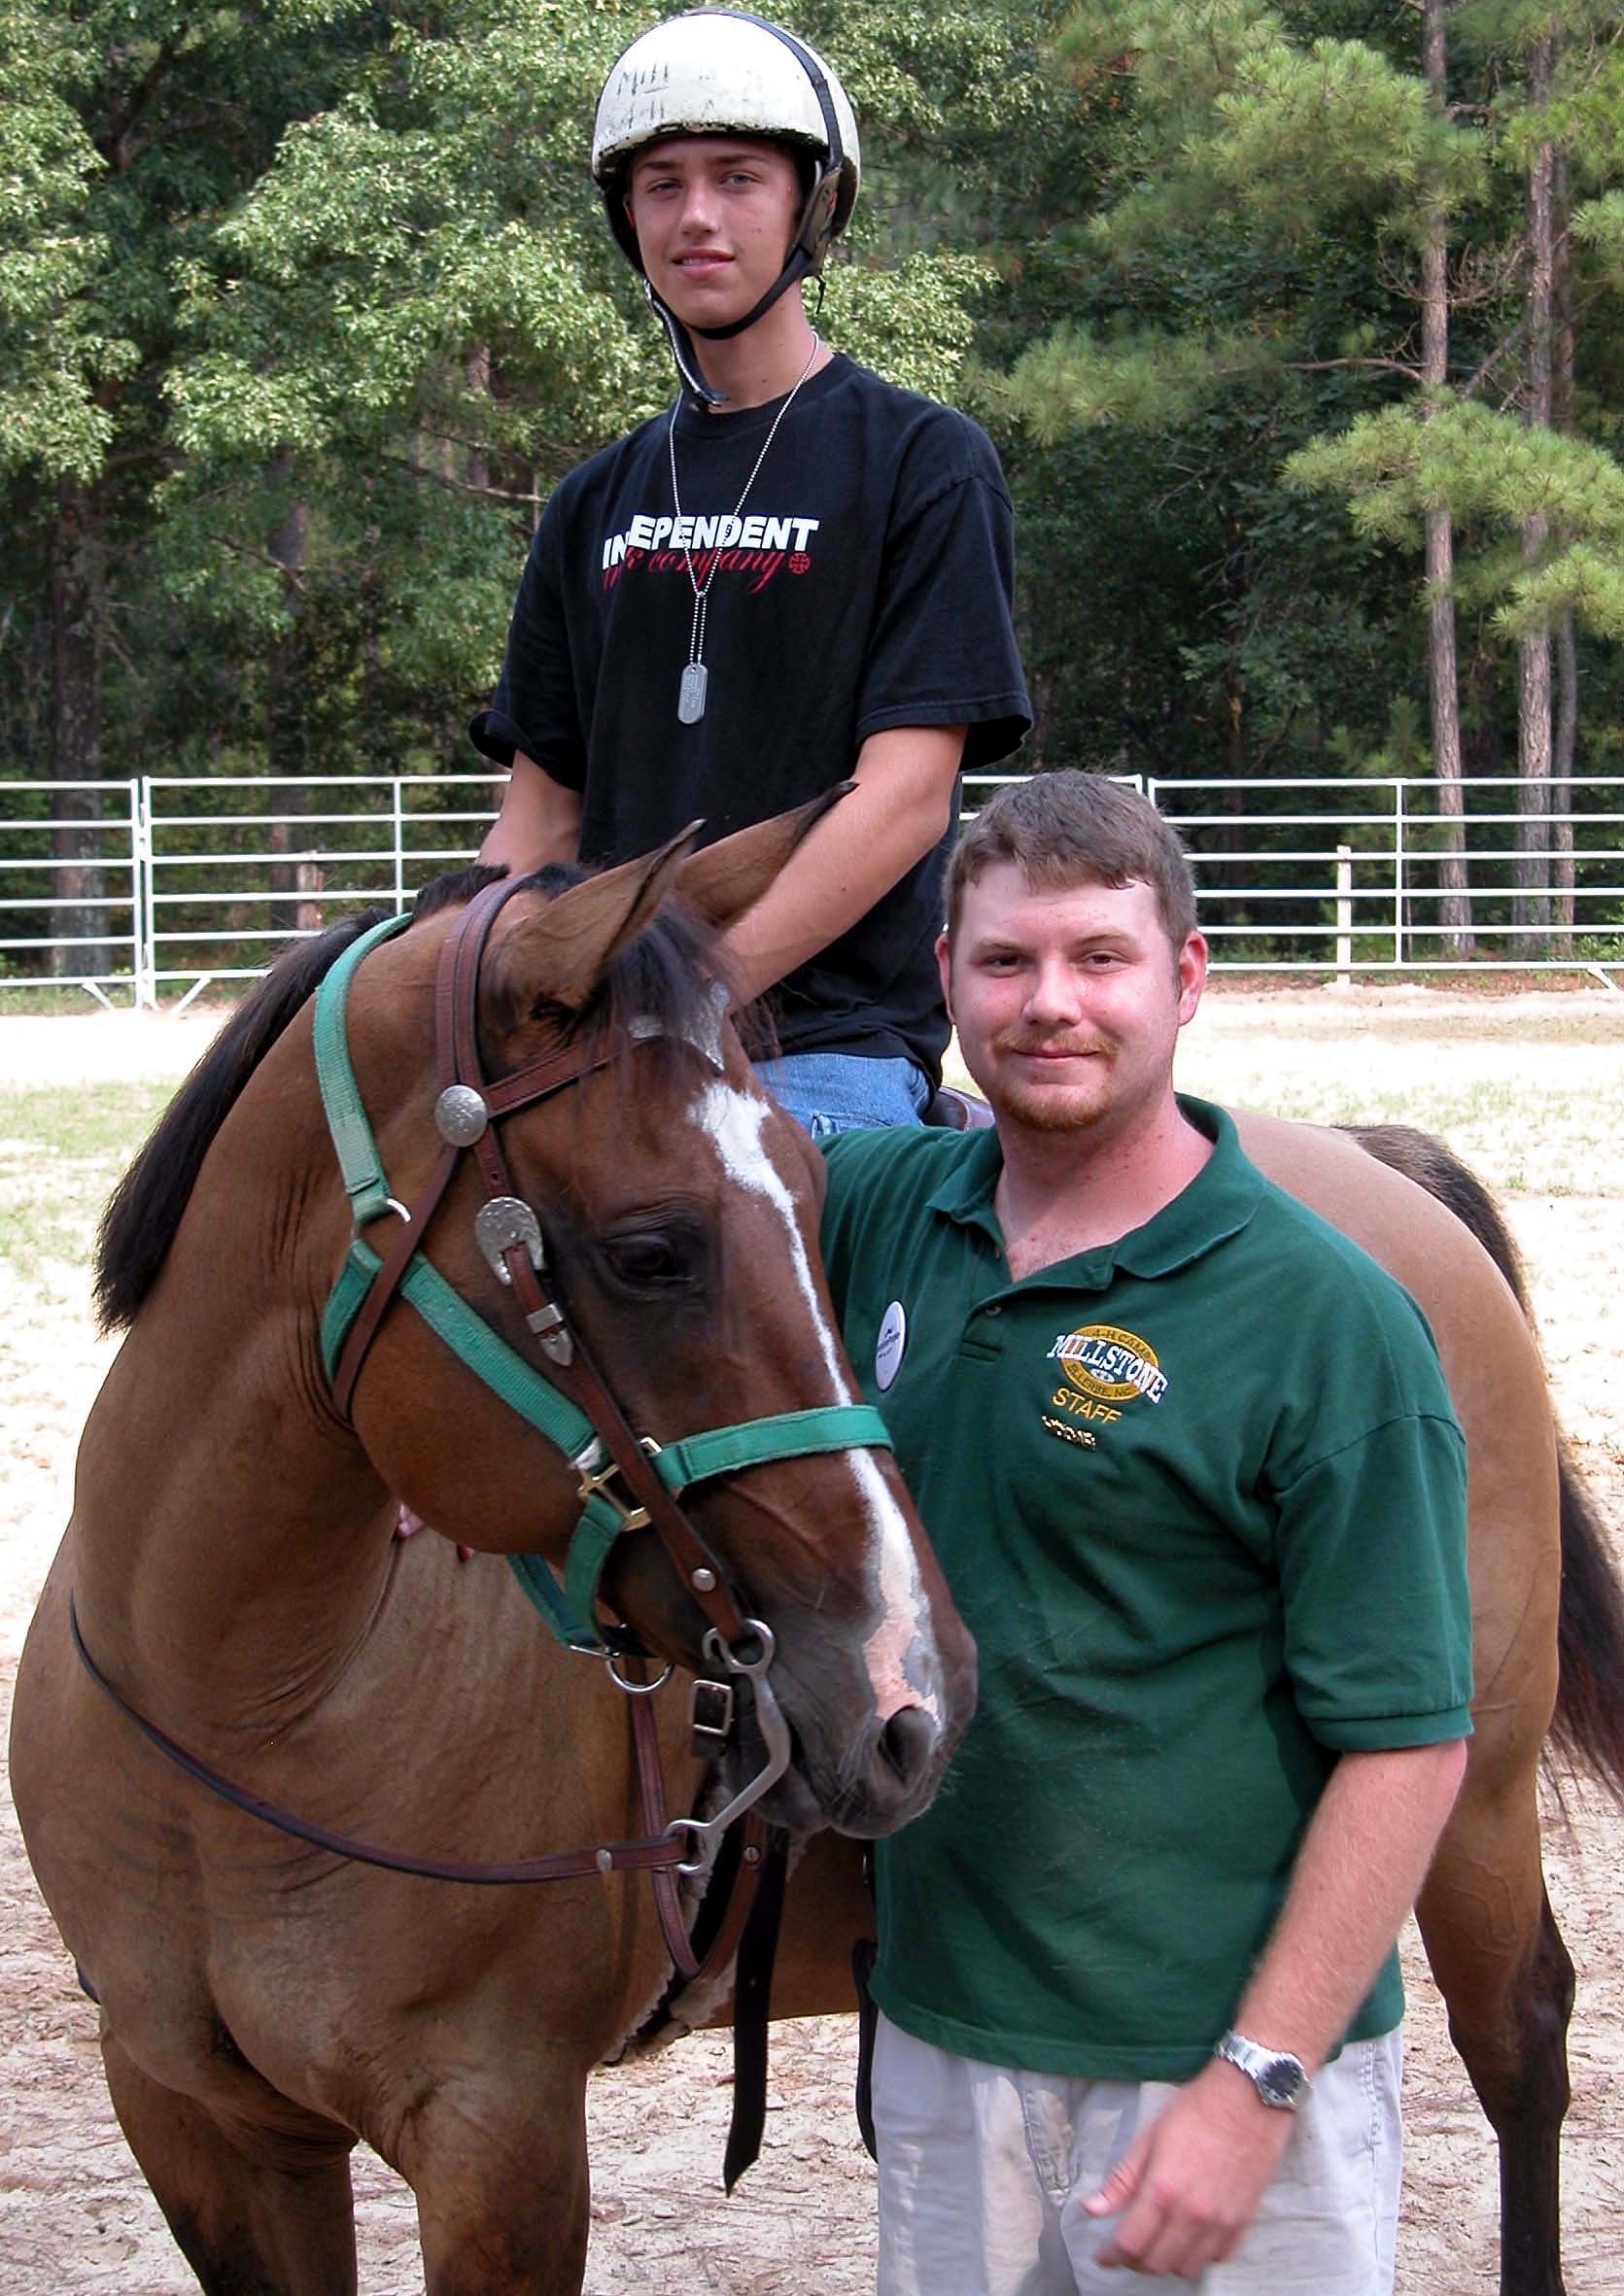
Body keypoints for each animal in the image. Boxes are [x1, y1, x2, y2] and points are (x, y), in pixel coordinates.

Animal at [10, 796, 978, 2296]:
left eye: (817, 1198)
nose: (908, 1689)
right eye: (650, 1249)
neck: (251, 1707)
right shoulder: (196, 2115)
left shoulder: (498, 2135)